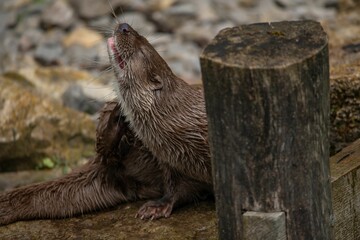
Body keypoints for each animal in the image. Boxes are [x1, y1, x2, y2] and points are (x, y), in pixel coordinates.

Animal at [0, 21, 211, 225]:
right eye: (144, 38)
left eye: (143, 51)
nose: (124, 26)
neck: (179, 121)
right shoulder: (170, 159)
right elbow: (176, 187)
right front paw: (158, 206)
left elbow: (181, 188)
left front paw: (158, 206)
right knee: (105, 152)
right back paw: (115, 121)